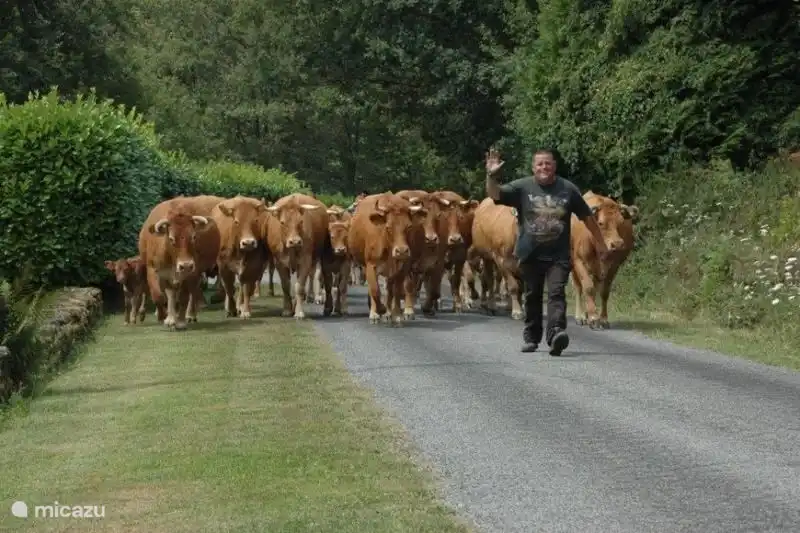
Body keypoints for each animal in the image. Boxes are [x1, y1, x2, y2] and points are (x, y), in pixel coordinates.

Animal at [138, 196, 222, 330]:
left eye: (193, 237)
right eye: (171, 238)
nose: (185, 265)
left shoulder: (192, 272)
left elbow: (184, 297)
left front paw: (181, 321)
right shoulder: (153, 270)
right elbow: (159, 296)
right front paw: (164, 316)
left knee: (193, 292)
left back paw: (190, 314)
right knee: (171, 293)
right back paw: (171, 317)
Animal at [348, 193, 425, 325]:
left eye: (409, 227)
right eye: (389, 227)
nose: (402, 251)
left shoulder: (402, 267)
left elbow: (397, 291)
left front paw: (396, 314)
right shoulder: (370, 265)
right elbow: (375, 290)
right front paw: (378, 311)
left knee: (390, 290)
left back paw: (389, 313)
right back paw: (377, 313)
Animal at [571, 191, 639, 329]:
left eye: (621, 222)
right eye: (601, 223)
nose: (617, 244)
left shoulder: (614, 266)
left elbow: (604, 292)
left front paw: (602, 319)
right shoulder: (579, 261)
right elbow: (587, 288)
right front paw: (592, 317)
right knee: (579, 288)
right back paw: (581, 316)